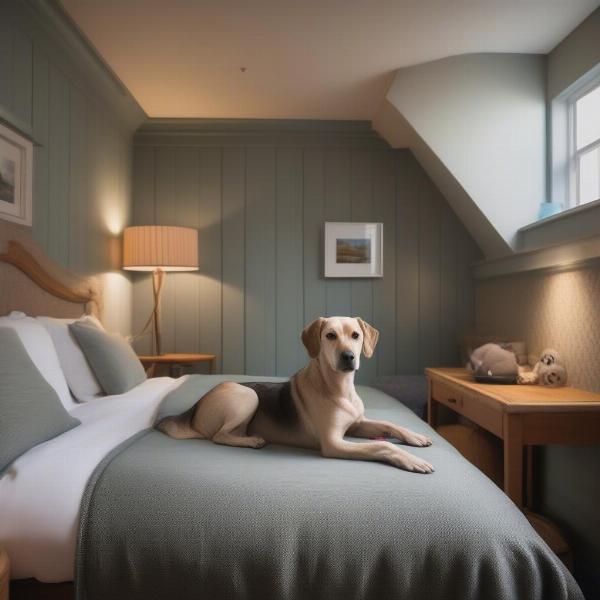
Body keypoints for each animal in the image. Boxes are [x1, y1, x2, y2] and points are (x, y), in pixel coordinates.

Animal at [157, 316, 434, 476]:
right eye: (330, 335)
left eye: (356, 335)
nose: (348, 356)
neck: (339, 389)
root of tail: (195, 408)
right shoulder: (334, 443)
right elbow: (382, 445)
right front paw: (411, 459)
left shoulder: (357, 424)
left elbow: (388, 424)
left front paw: (416, 436)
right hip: (247, 395)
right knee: (219, 436)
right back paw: (252, 441)